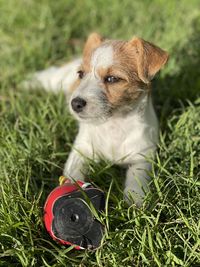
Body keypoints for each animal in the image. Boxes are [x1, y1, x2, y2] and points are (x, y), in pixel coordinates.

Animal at [28, 32, 169, 206]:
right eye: (81, 74)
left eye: (112, 79)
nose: (75, 103)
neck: (115, 123)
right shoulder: (81, 149)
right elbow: (73, 172)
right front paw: (72, 188)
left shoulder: (142, 155)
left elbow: (137, 177)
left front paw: (135, 201)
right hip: (58, 79)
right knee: (48, 76)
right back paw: (27, 83)